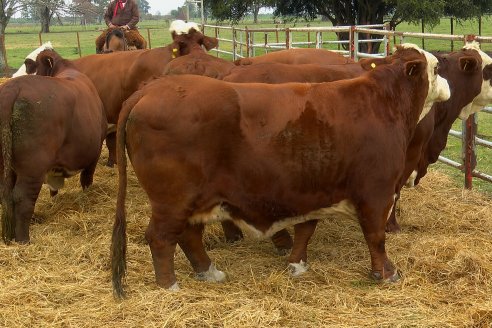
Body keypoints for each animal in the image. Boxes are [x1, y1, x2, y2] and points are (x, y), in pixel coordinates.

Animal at [0, 49, 106, 243]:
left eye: (29, 64)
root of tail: (12, 88)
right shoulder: (93, 154)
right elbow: (86, 180)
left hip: (5, 165)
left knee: (6, 193)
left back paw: (9, 237)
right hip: (33, 167)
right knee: (22, 197)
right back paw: (23, 240)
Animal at [111, 42, 450, 296]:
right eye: (436, 67)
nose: (446, 83)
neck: (382, 103)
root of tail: (153, 89)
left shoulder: (314, 189)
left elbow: (306, 228)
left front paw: (297, 263)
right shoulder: (377, 191)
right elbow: (376, 236)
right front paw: (386, 272)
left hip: (194, 201)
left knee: (189, 235)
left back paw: (209, 272)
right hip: (173, 200)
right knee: (160, 237)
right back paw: (169, 286)